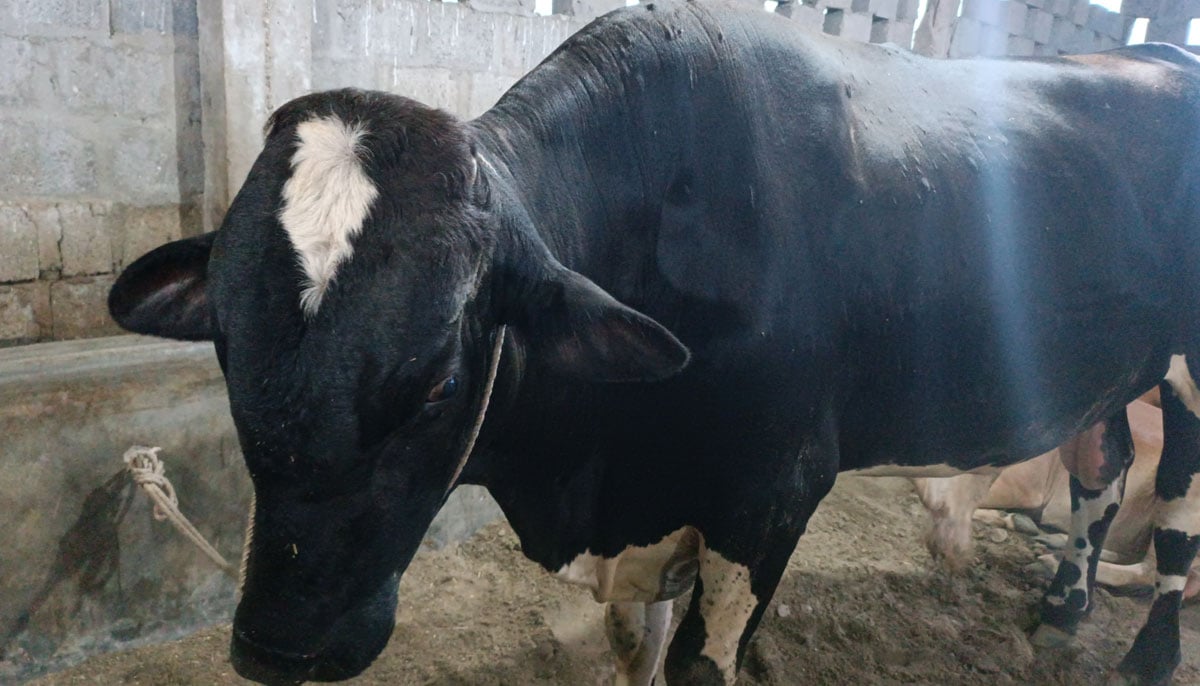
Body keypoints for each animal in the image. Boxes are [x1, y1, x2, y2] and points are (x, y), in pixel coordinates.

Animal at [105, 2, 1200, 681]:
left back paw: (1145, 654)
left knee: (1176, 518)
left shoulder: (771, 499)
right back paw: (1061, 608)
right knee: (1102, 468)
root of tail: (1158, 53)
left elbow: (701, 658)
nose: (276, 647)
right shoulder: (642, 518)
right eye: (227, 344)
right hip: (1114, 370)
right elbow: (637, 644)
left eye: (442, 382)